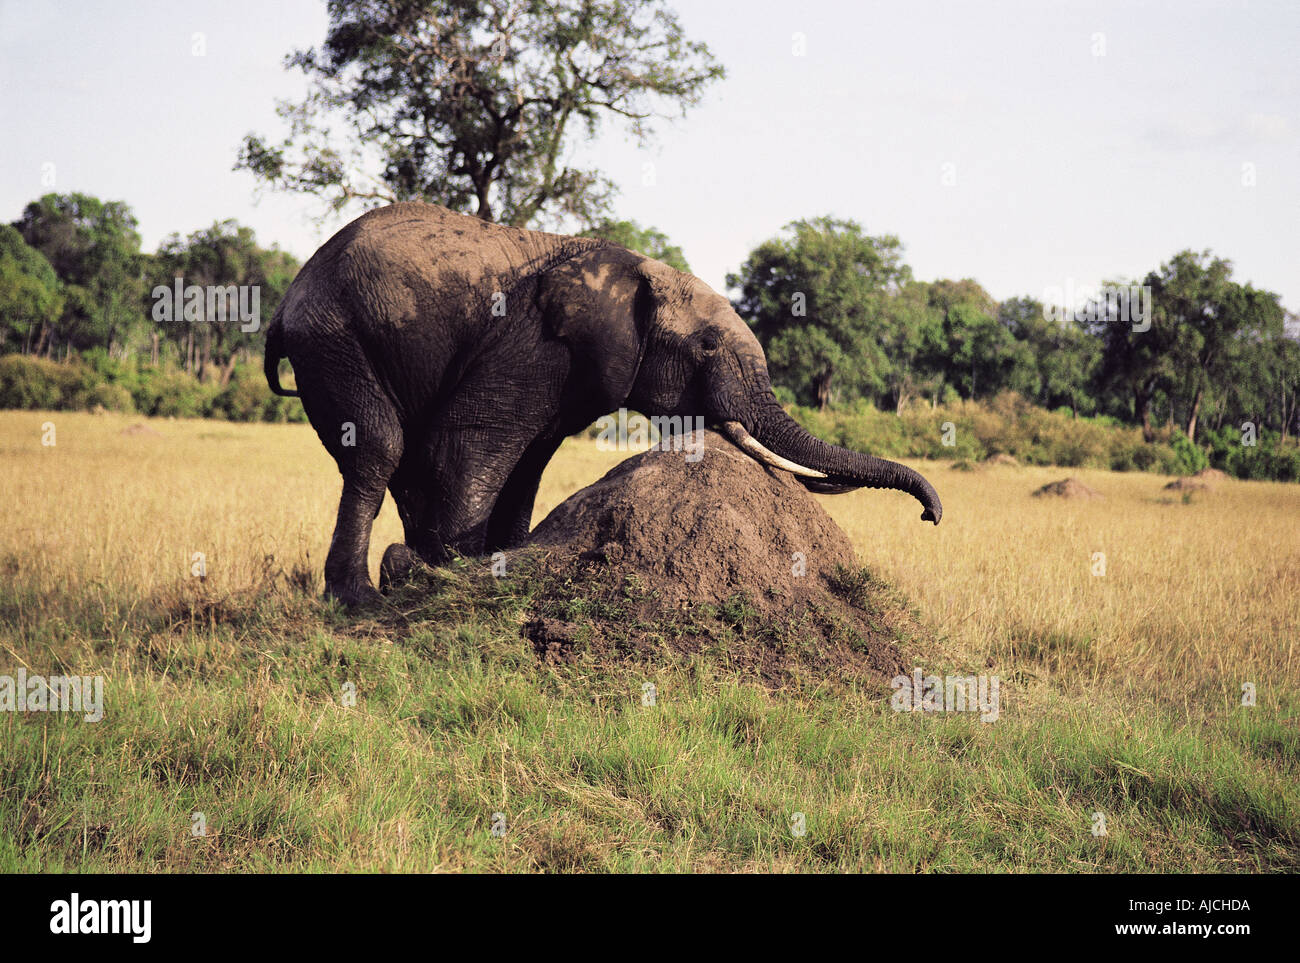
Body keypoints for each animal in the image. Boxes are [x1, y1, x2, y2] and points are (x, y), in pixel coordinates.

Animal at [263, 201, 941, 605]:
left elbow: (529, 463)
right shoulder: (533, 342)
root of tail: (290, 295)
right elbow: (467, 446)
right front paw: (450, 574)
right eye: (705, 347)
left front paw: (488, 561)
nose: (932, 517)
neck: (640, 270)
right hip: (333, 338)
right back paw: (360, 599)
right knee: (379, 447)